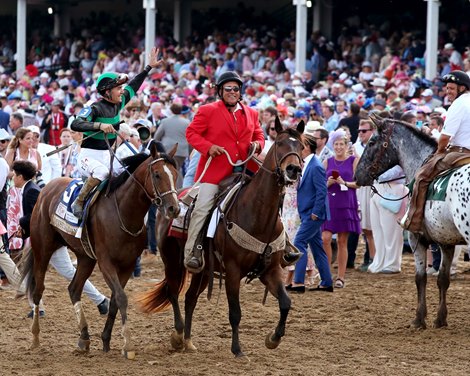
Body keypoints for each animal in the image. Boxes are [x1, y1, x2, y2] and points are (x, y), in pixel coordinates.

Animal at [19, 142, 180, 360]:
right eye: (156, 174)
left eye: (175, 174)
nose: (174, 208)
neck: (123, 213)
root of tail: (46, 189)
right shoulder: (106, 263)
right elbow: (121, 297)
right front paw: (128, 344)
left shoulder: (128, 265)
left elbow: (115, 301)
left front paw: (106, 340)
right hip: (42, 250)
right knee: (38, 290)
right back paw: (35, 337)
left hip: (85, 257)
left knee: (74, 289)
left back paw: (84, 338)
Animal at [137, 119, 304, 358]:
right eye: (280, 143)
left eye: (301, 146)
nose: (293, 169)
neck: (257, 214)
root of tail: (171, 203)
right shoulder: (232, 271)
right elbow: (235, 312)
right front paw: (237, 349)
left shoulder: (270, 270)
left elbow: (285, 303)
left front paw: (273, 339)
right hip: (172, 261)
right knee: (173, 292)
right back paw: (178, 336)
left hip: (202, 270)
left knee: (190, 299)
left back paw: (188, 341)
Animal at [356, 117, 470, 328]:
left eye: (372, 142)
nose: (357, 175)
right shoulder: (447, 242)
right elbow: (443, 279)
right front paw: (440, 319)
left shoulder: (416, 238)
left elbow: (420, 278)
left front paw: (419, 318)